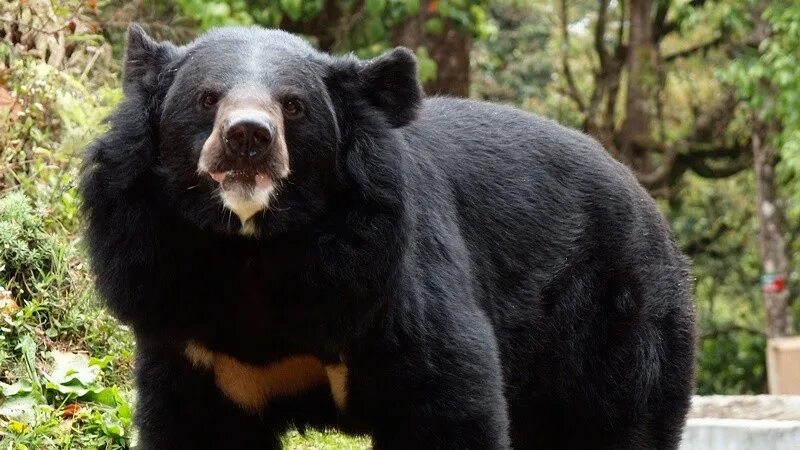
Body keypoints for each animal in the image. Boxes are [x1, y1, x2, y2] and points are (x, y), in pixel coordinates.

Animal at [79, 24, 692, 450]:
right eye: (207, 98)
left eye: (293, 105)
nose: (248, 138)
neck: (255, 248)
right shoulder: (182, 314)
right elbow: (197, 425)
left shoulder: (384, 278)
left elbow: (445, 403)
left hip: (614, 324)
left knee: (615, 423)